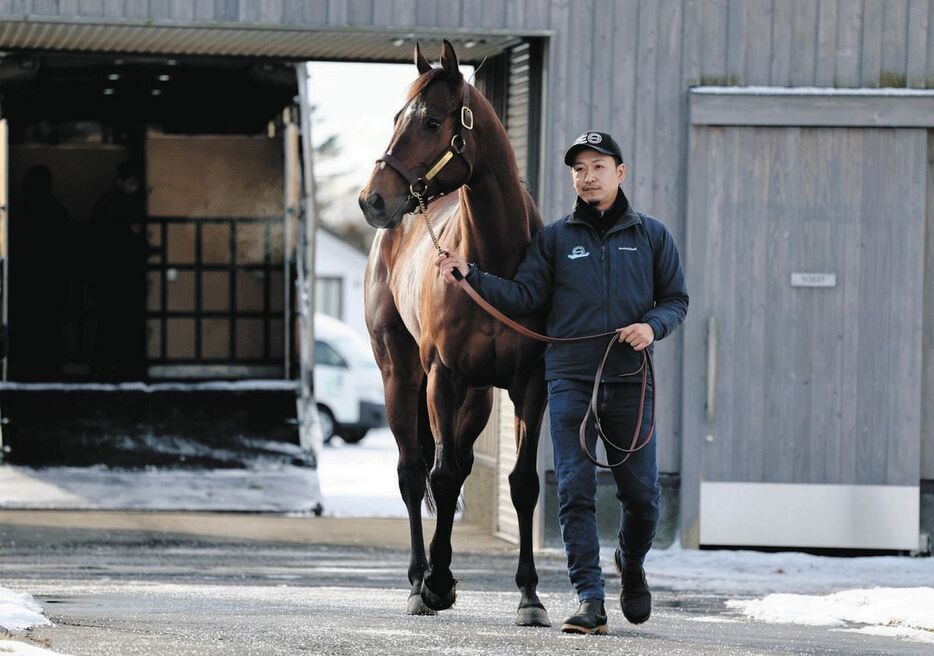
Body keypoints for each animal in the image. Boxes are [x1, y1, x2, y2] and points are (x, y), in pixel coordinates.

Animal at [356, 39, 548, 624]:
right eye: (397, 117)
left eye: (432, 121)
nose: (372, 200)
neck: (495, 267)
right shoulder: (443, 376)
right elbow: (435, 478)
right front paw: (436, 584)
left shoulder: (530, 385)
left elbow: (523, 483)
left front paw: (530, 596)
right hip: (401, 374)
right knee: (414, 471)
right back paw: (420, 580)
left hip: (479, 398)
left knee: (458, 466)